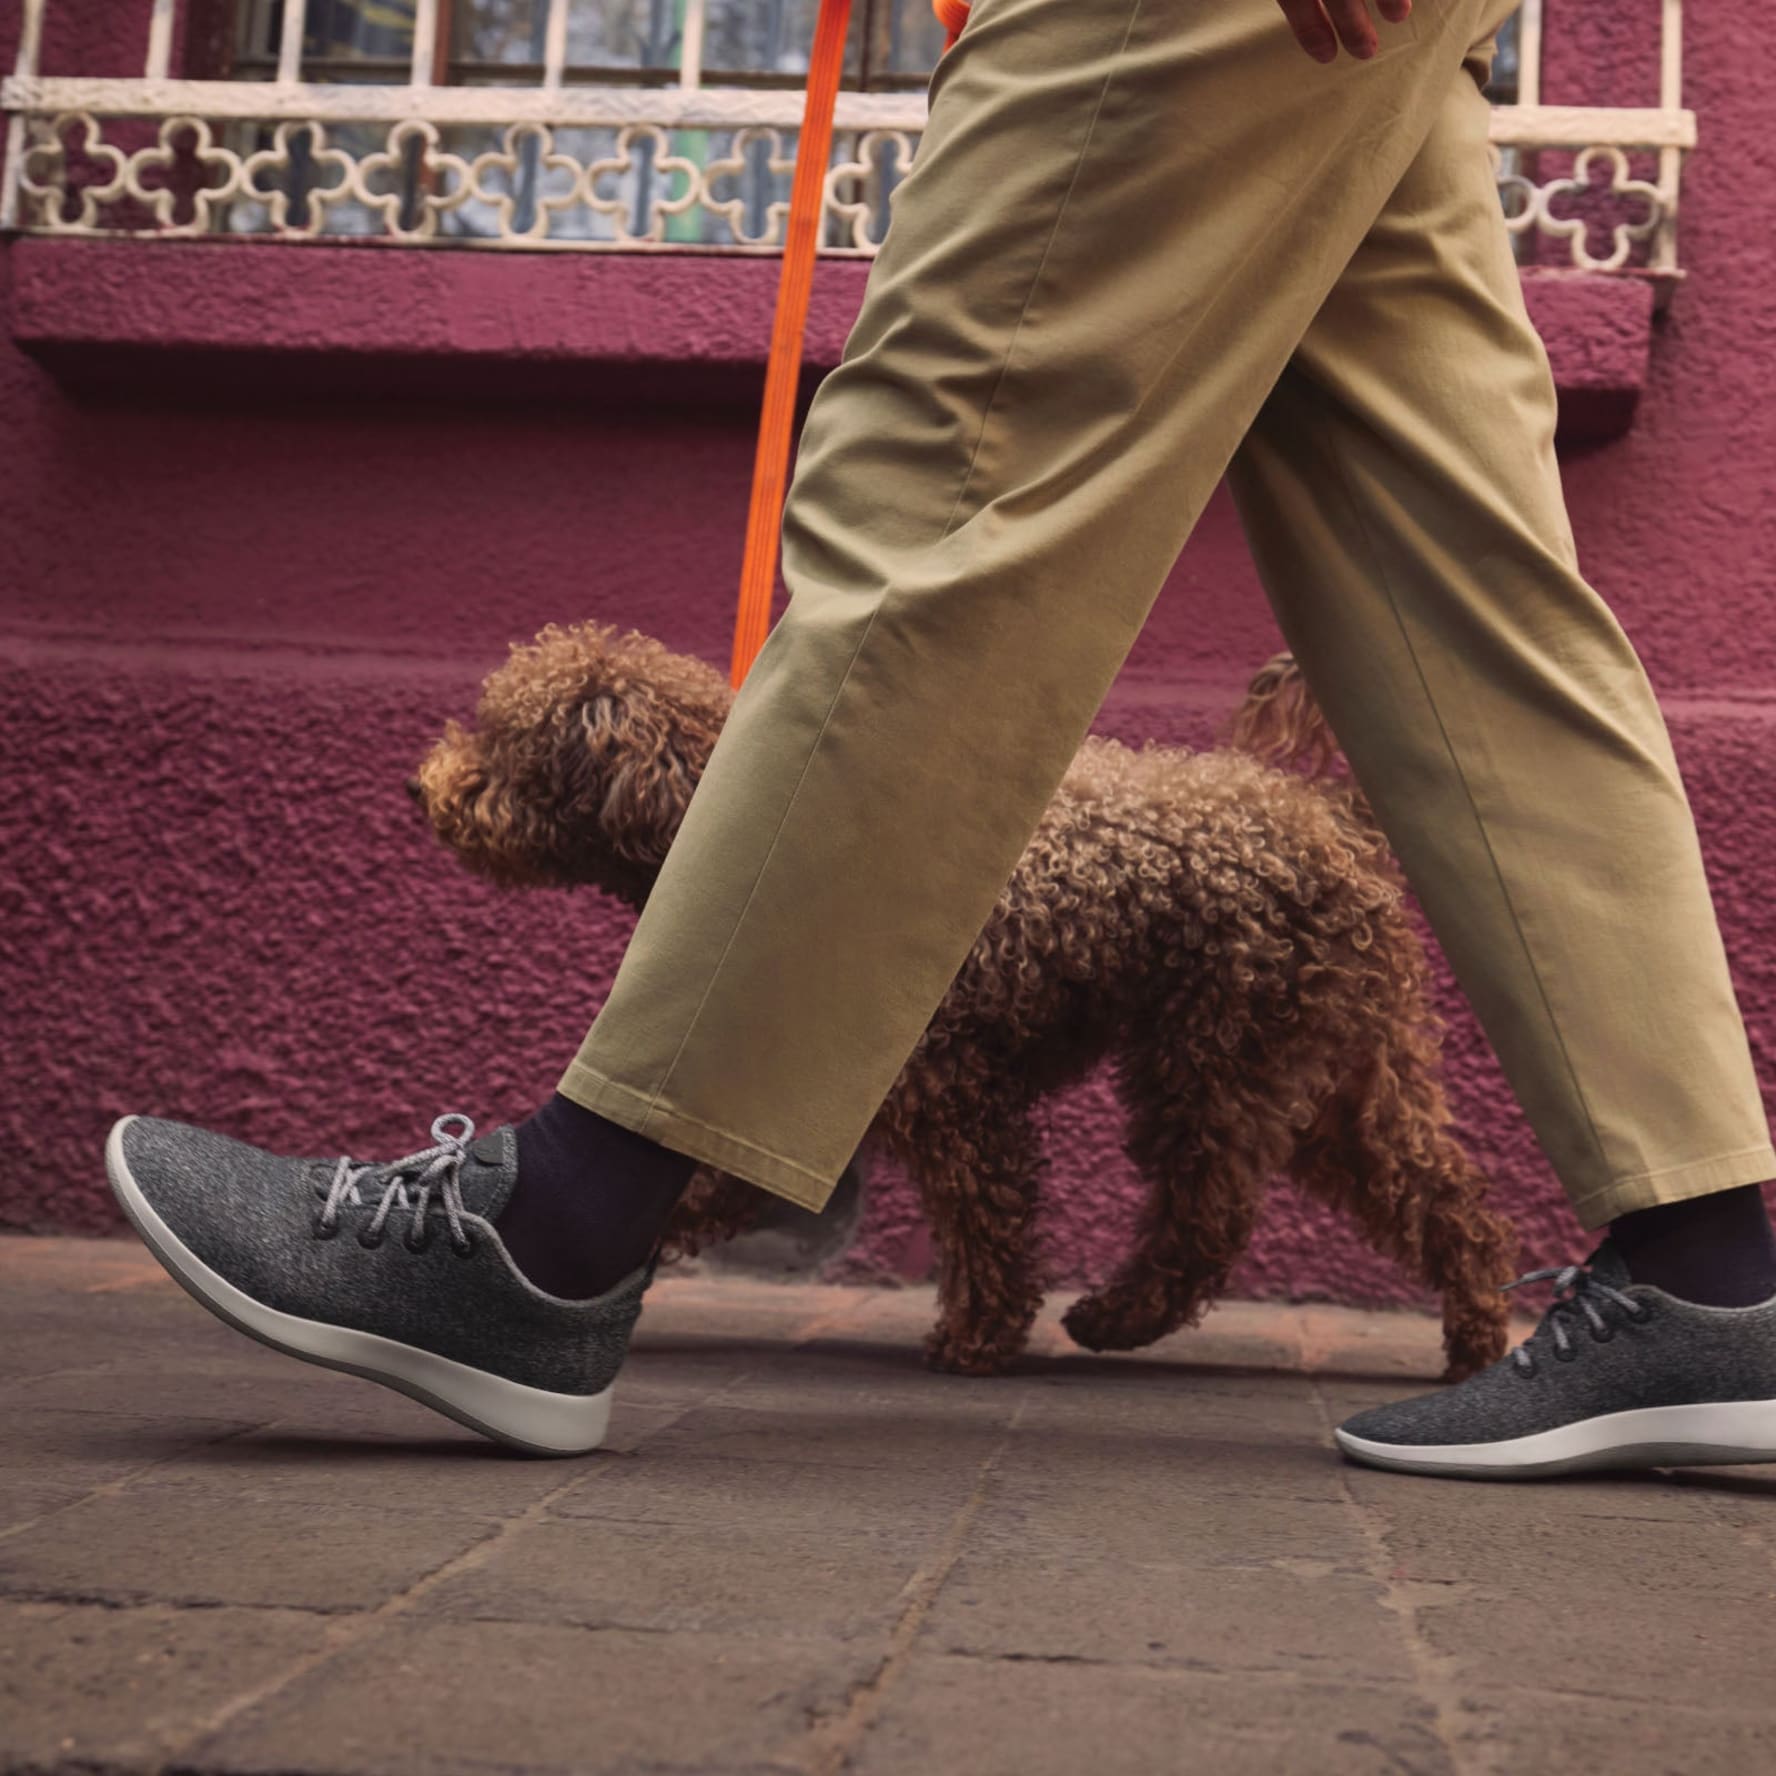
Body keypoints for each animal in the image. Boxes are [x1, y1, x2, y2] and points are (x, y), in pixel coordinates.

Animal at [412, 618, 1513, 1378]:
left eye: (508, 750)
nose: (426, 789)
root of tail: (1331, 819)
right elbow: (703, 1183)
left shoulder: (949, 1090)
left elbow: (989, 1211)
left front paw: (981, 1334)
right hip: (1338, 1067)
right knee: (1440, 1194)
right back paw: (1475, 1336)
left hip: (1217, 1056)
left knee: (1207, 1217)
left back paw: (1117, 1317)